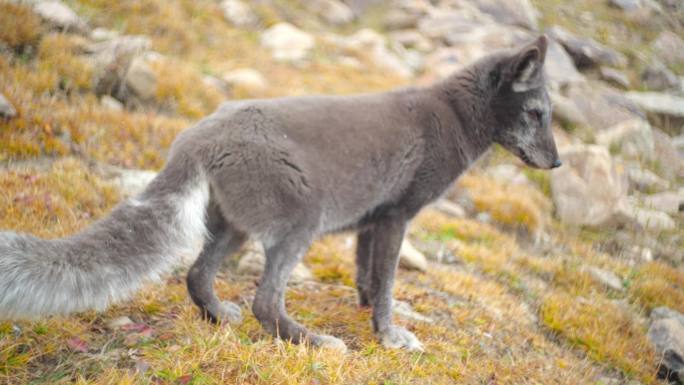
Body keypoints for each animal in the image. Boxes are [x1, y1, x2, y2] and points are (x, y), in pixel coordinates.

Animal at [0, 35, 560, 352]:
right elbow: (386, 286)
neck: (453, 116)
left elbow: (367, 277)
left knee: (197, 276)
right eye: (537, 114)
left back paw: (218, 317)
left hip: (234, 230)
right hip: (299, 225)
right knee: (265, 302)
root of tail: (197, 138)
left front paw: (365, 311)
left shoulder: (374, 221)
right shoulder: (398, 217)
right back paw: (312, 341)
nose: (556, 163)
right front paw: (388, 336)